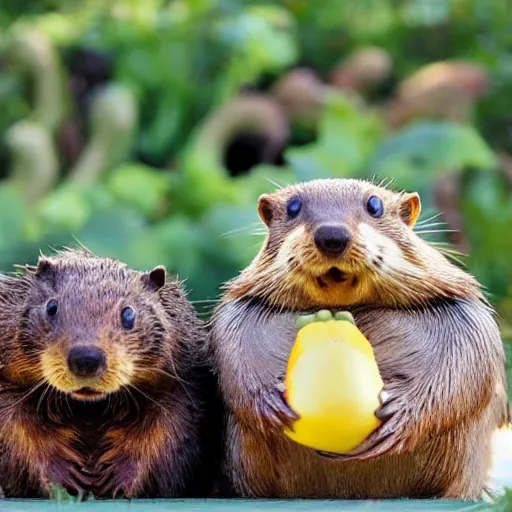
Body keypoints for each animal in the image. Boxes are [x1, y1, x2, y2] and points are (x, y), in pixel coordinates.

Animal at [0, 250, 219, 498]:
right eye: (51, 307)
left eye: (128, 313)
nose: (85, 359)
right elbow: (16, 432)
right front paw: (68, 481)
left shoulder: (180, 387)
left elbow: (166, 436)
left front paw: (114, 482)